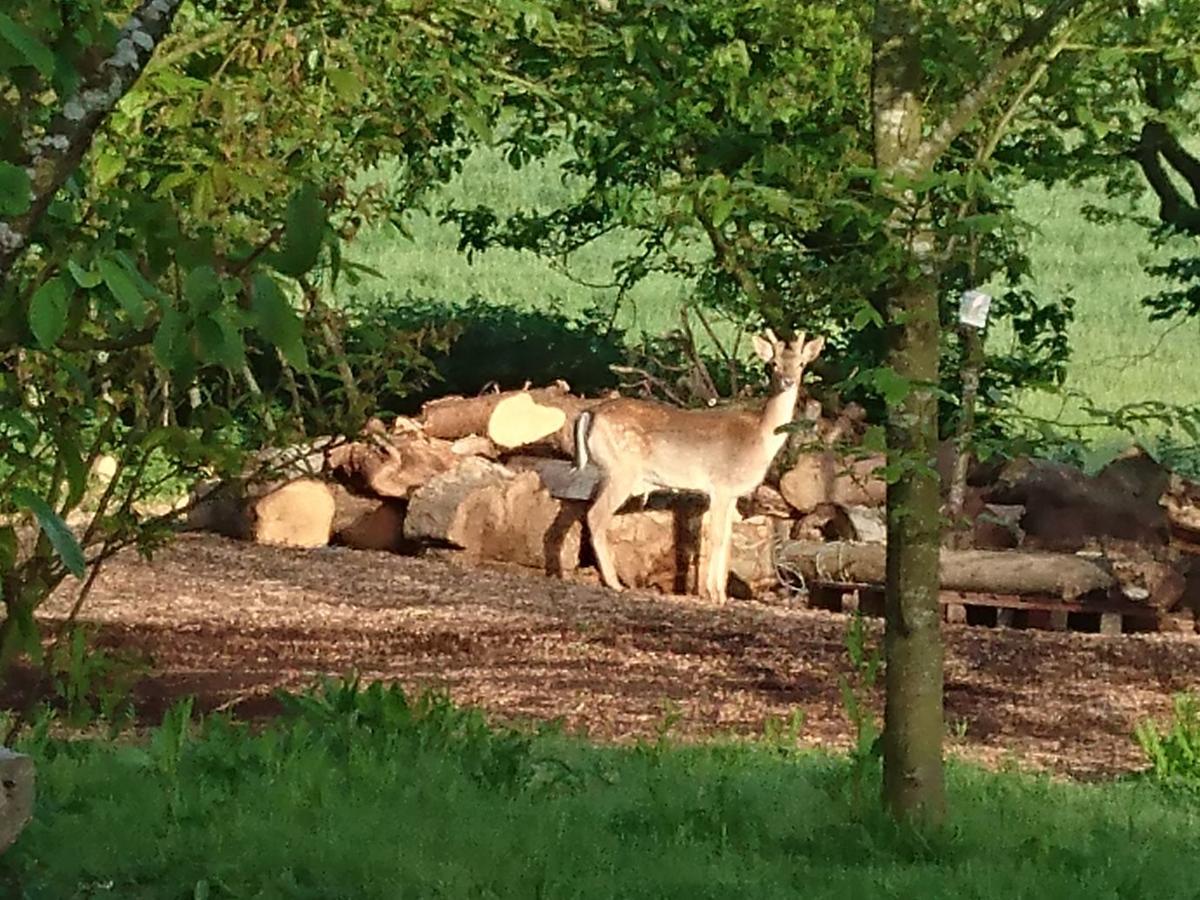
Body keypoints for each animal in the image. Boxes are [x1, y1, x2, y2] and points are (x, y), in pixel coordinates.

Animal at [571, 331, 825, 607]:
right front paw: (714, 594)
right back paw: (614, 583)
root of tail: (590, 412)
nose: (788, 381)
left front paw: (722, 594)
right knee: (596, 515)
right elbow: (715, 538)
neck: (760, 437)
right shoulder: (721, 485)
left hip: (606, 472)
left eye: (801, 364)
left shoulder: (732, 493)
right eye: (774, 364)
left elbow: (727, 539)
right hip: (621, 469)